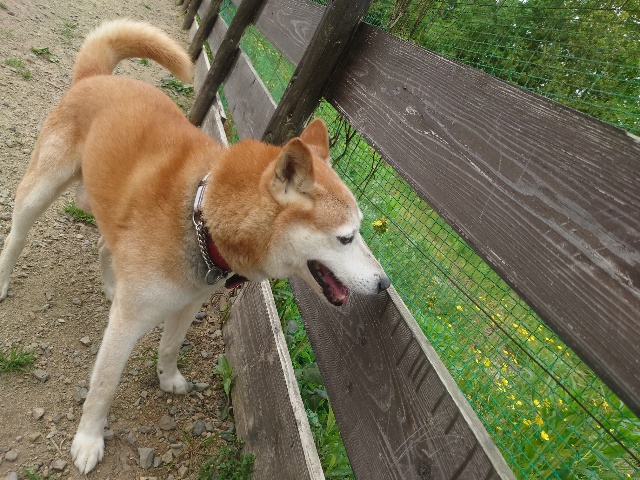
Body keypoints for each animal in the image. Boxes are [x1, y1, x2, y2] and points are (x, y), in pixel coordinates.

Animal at [0, 19, 389, 473]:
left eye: (360, 230)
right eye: (346, 237)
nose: (385, 284)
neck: (201, 215)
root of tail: (95, 77)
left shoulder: (189, 302)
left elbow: (170, 346)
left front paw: (168, 380)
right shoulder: (125, 326)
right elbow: (103, 386)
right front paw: (88, 440)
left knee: (104, 245)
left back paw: (112, 284)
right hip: (39, 191)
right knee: (17, 236)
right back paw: (4, 280)